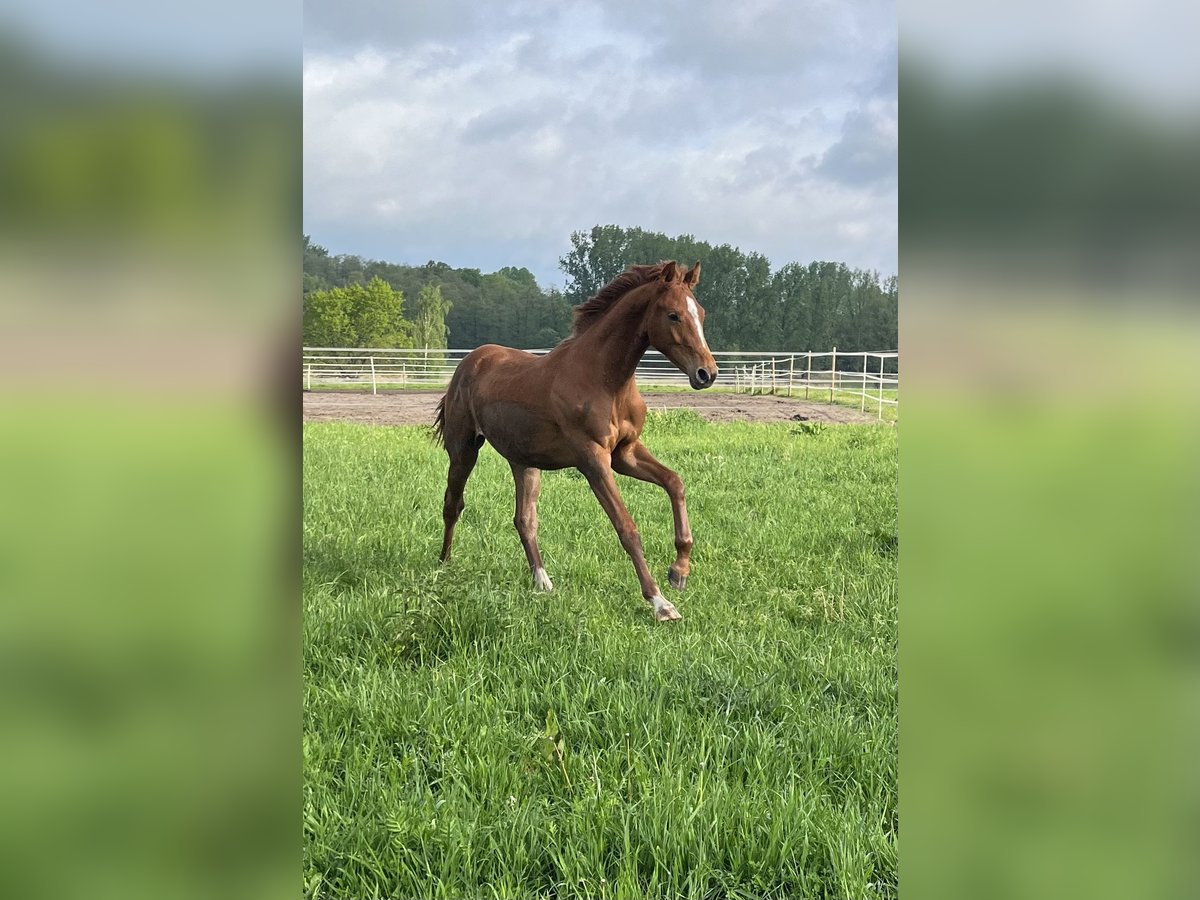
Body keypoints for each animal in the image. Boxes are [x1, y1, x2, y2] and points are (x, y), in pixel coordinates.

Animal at [434, 260, 715, 624]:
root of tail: (469, 361)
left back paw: (542, 582)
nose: (707, 373)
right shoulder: (593, 460)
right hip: (464, 449)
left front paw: (679, 571)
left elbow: (674, 482)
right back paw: (443, 567)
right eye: (673, 315)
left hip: (524, 462)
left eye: (702, 313)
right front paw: (660, 602)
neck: (605, 379)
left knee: (524, 519)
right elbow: (627, 527)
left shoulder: (625, 454)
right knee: (453, 504)